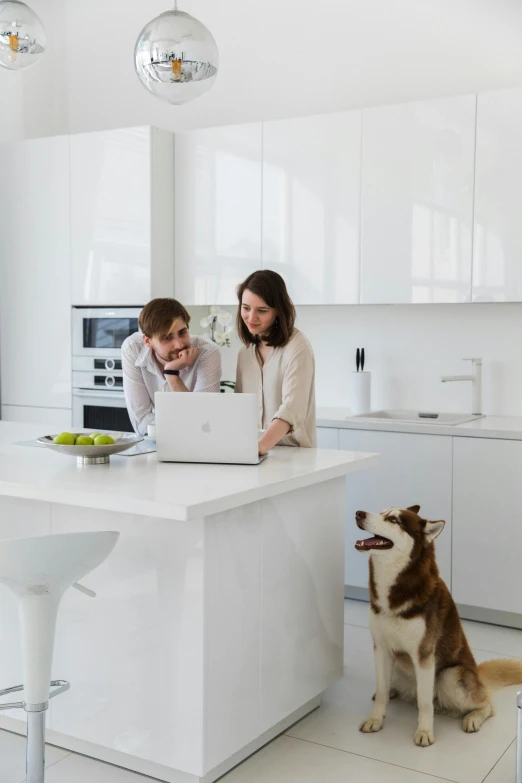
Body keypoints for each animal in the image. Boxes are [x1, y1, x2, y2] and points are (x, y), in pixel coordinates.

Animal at [354, 506, 520, 752]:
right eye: (382, 512)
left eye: (393, 520)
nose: (359, 513)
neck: (394, 589)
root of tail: (478, 675)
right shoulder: (381, 649)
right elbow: (382, 691)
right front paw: (376, 719)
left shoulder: (424, 656)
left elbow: (424, 704)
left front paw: (424, 732)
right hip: (399, 666)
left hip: (449, 676)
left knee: (487, 704)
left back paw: (472, 717)